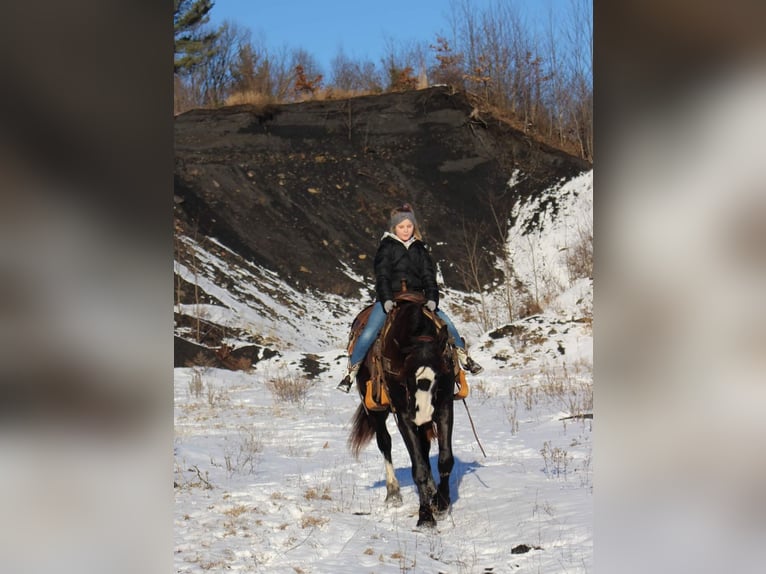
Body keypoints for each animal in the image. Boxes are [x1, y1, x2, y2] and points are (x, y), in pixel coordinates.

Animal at [350, 294, 462, 528]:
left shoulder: (445, 407)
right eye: (406, 377)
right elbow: (417, 467)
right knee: (385, 442)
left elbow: (445, 459)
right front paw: (425, 516)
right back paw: (393, 493)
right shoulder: (403, 414)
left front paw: (441, 503)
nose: (423, 413)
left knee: (425, 448)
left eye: (439, 376)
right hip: (375, 411)